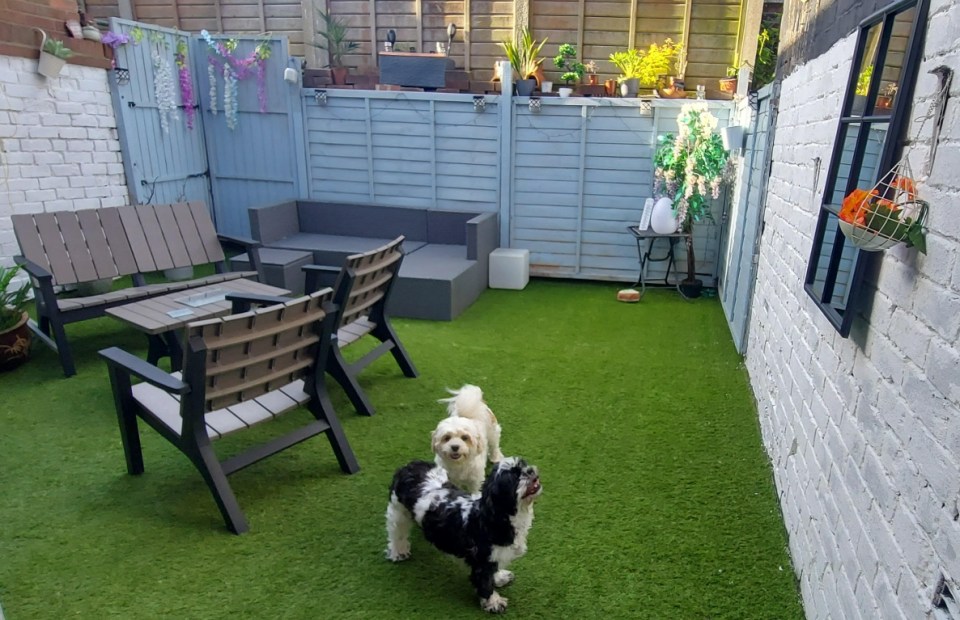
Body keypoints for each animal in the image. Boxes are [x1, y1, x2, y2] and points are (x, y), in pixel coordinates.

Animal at [386, 458, 544, 612]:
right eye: (514, 477)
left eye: (523, 464)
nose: (530, 470)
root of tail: (408, 466)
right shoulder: (482, 560)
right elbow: (484, 582)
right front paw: (493, 602)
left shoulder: (494, 556)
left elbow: (494, 570)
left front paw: (499, 577)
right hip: (398, 511)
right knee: (397, 532)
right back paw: (398, 552)